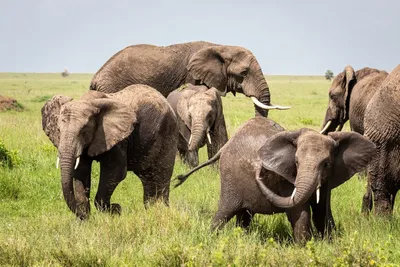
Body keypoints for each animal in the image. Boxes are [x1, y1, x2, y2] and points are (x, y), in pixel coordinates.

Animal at [41, 85, 177, 220]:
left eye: (83, 131)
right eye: (58, 130)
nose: (117, 207)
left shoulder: (118, 139)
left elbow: (116, 171)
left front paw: (113, 211)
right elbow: (81, 172)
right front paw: (84, 220)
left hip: (168, 135)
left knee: (162, 175)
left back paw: (162, 210)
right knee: (147, 178)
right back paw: (151, 210)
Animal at [175, 117, 376, 243]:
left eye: (326, 164)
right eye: (296, 162)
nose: (260, 170)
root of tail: (225, 146)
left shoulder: (328, 179)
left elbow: (322, 211)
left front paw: (329, 244)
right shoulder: (285, 178)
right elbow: (299, 211)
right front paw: (304, 249)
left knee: (244, 215)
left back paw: (242, 237)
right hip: (229, 177)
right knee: (225, 212)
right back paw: (211, 237)